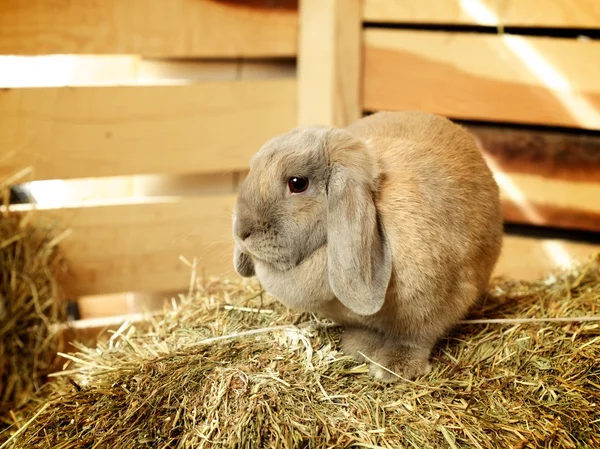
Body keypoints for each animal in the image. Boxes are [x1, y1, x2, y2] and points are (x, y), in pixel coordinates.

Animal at [232, 110, 504, 380]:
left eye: (297, 183)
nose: (242, 232)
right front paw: (358, 347)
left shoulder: (434, 304)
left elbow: (413, 338)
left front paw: (394, 367)